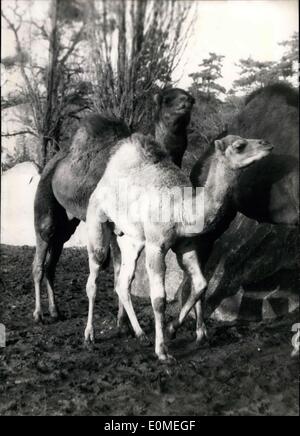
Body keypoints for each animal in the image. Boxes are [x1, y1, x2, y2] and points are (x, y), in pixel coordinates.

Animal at [84, 133, 272, 362]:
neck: (180, 209)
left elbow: (200, 284)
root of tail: (101, 182)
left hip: (130, 239)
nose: (267, 144)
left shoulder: (186, 246)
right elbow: (159, 299)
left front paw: (178, 330)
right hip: (97, 223)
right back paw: (90, 336)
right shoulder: (156, 246)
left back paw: (135, 332)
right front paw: (163, 352)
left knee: (122, 281)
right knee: (94, 278)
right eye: (239, 146)